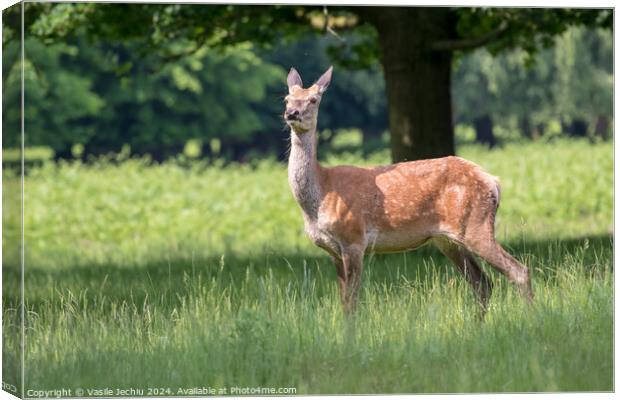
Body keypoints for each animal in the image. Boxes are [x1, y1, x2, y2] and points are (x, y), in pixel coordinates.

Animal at [284, 66, 532, 316]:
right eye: (286, 98)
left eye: (313, 99)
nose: (292, 113)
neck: (322, 192)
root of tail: (494, 182)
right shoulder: (334, 250)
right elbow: (345, 303)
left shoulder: (353, 238)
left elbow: (352, 302)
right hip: (447, 239)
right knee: (482, 282)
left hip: (476, 224)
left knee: (519, 271)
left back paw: (529, 315)